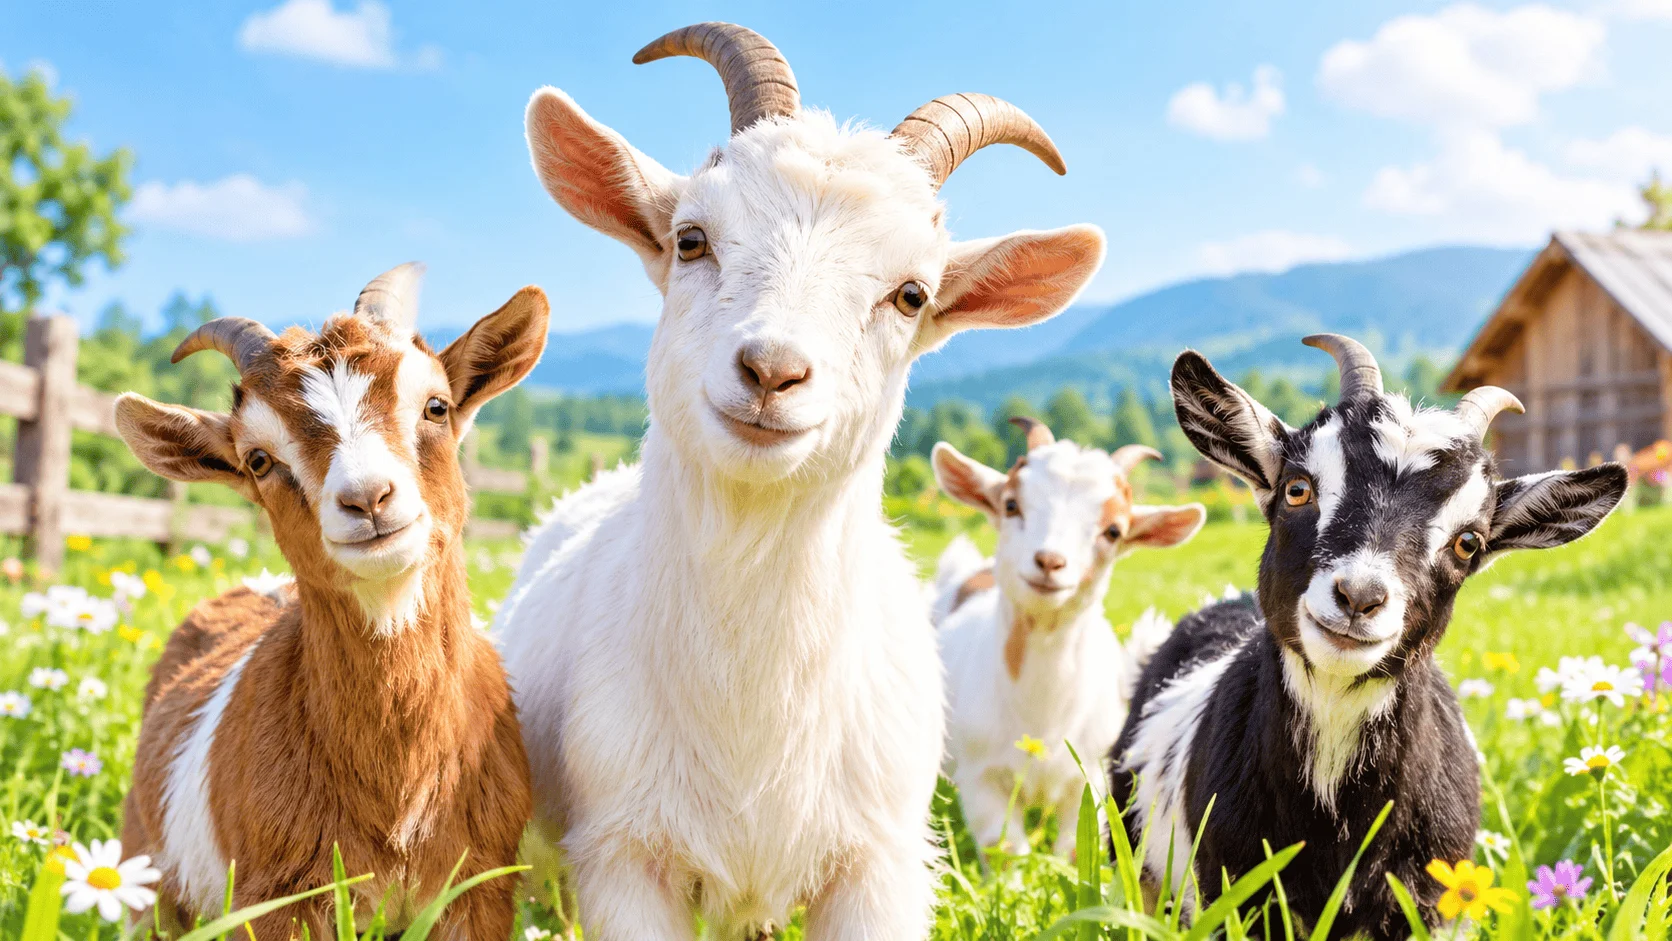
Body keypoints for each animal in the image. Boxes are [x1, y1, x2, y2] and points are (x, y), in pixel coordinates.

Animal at [114, 265, 545, 939]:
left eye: (436, 406)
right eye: (258, 459)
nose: (367, 498)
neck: (397, 793)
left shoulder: (480, 887)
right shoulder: (277, 897)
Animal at [932, 417, 1204, 855]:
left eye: (1113, 531)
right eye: (1011, 505)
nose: (1049, 562)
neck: (1041, 716)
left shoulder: (1089, 774)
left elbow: (1076, 848)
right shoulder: (980, 776)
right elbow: (1003, 848)